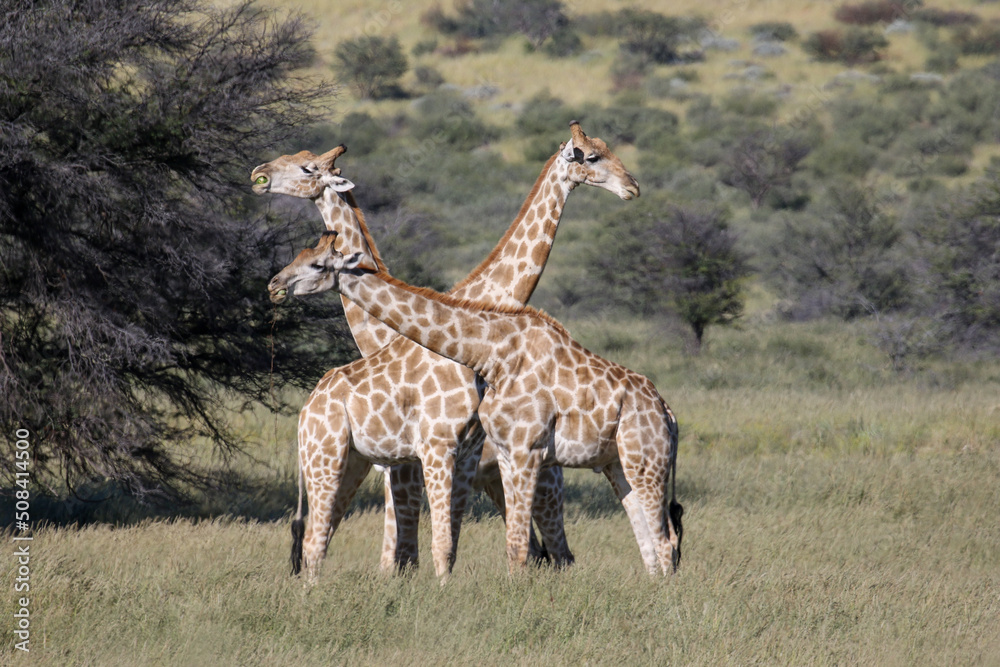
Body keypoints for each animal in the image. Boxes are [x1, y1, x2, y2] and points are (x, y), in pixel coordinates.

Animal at [251, 124, 640, 576]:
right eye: (590, 155)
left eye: (306, 166)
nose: (258, 175)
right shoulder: (408, 461)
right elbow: (405, 550)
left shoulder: (432, 457)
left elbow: (418, 546)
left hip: (537, 475)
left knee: (556, 550)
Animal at [268, 238, 684, 575]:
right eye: (297, 256)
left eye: (317, 265)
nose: (274, 285)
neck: (493, 355)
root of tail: (669, 414)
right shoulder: (506, 454)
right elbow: (511, 545)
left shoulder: (524, 450)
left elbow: (515, 546)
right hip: (619, 464)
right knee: (650, 544)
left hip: (646, 461)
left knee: (664, 542)